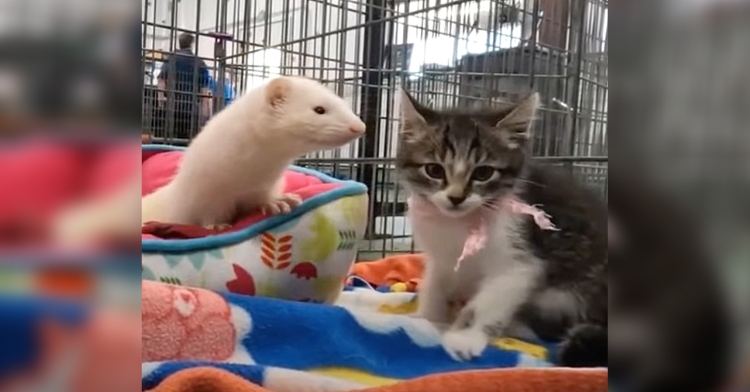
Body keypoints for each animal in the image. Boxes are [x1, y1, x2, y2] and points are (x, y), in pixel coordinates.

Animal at [396, 89, 608, 364]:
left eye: (483, 173)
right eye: (434, 169)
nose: (456, 198)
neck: (456, 224)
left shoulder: (520, 262)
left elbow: (487, 301)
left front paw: (463, 337)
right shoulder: (440, 258)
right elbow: (434, 284)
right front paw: (424, 318)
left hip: (567, 291)